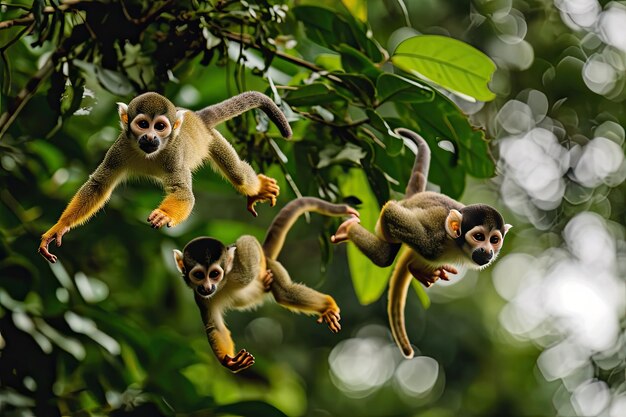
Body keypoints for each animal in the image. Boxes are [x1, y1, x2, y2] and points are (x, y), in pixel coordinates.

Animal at [40, 91, 288, 262]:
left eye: (159, 126)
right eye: (142, 124)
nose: (150, 137)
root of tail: (199, 118)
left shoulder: (174, 152)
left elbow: (183, 193)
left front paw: (165, 215)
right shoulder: (119, 147)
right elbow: (99, 185)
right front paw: (60, 226)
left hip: (214, 140)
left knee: (239, 176)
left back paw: (257, 187)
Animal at [172, 197, 356, 372]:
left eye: (214, 274)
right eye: (198, 275)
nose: (207, 287)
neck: (223, 284)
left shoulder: (242, 272)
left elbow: (248, 241)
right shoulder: (200, 297)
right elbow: (214, 327)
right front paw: (230, 361)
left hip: (271, 266)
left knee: (285, 292)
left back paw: (327, 304)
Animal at [330, 127, 510, 358]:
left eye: (494, 240)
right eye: (479, 237)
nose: (487, 251)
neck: (456, 245)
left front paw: (416, 269)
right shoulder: (432, 241)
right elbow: (391, 212)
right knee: (385, 253)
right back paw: (350, 230)